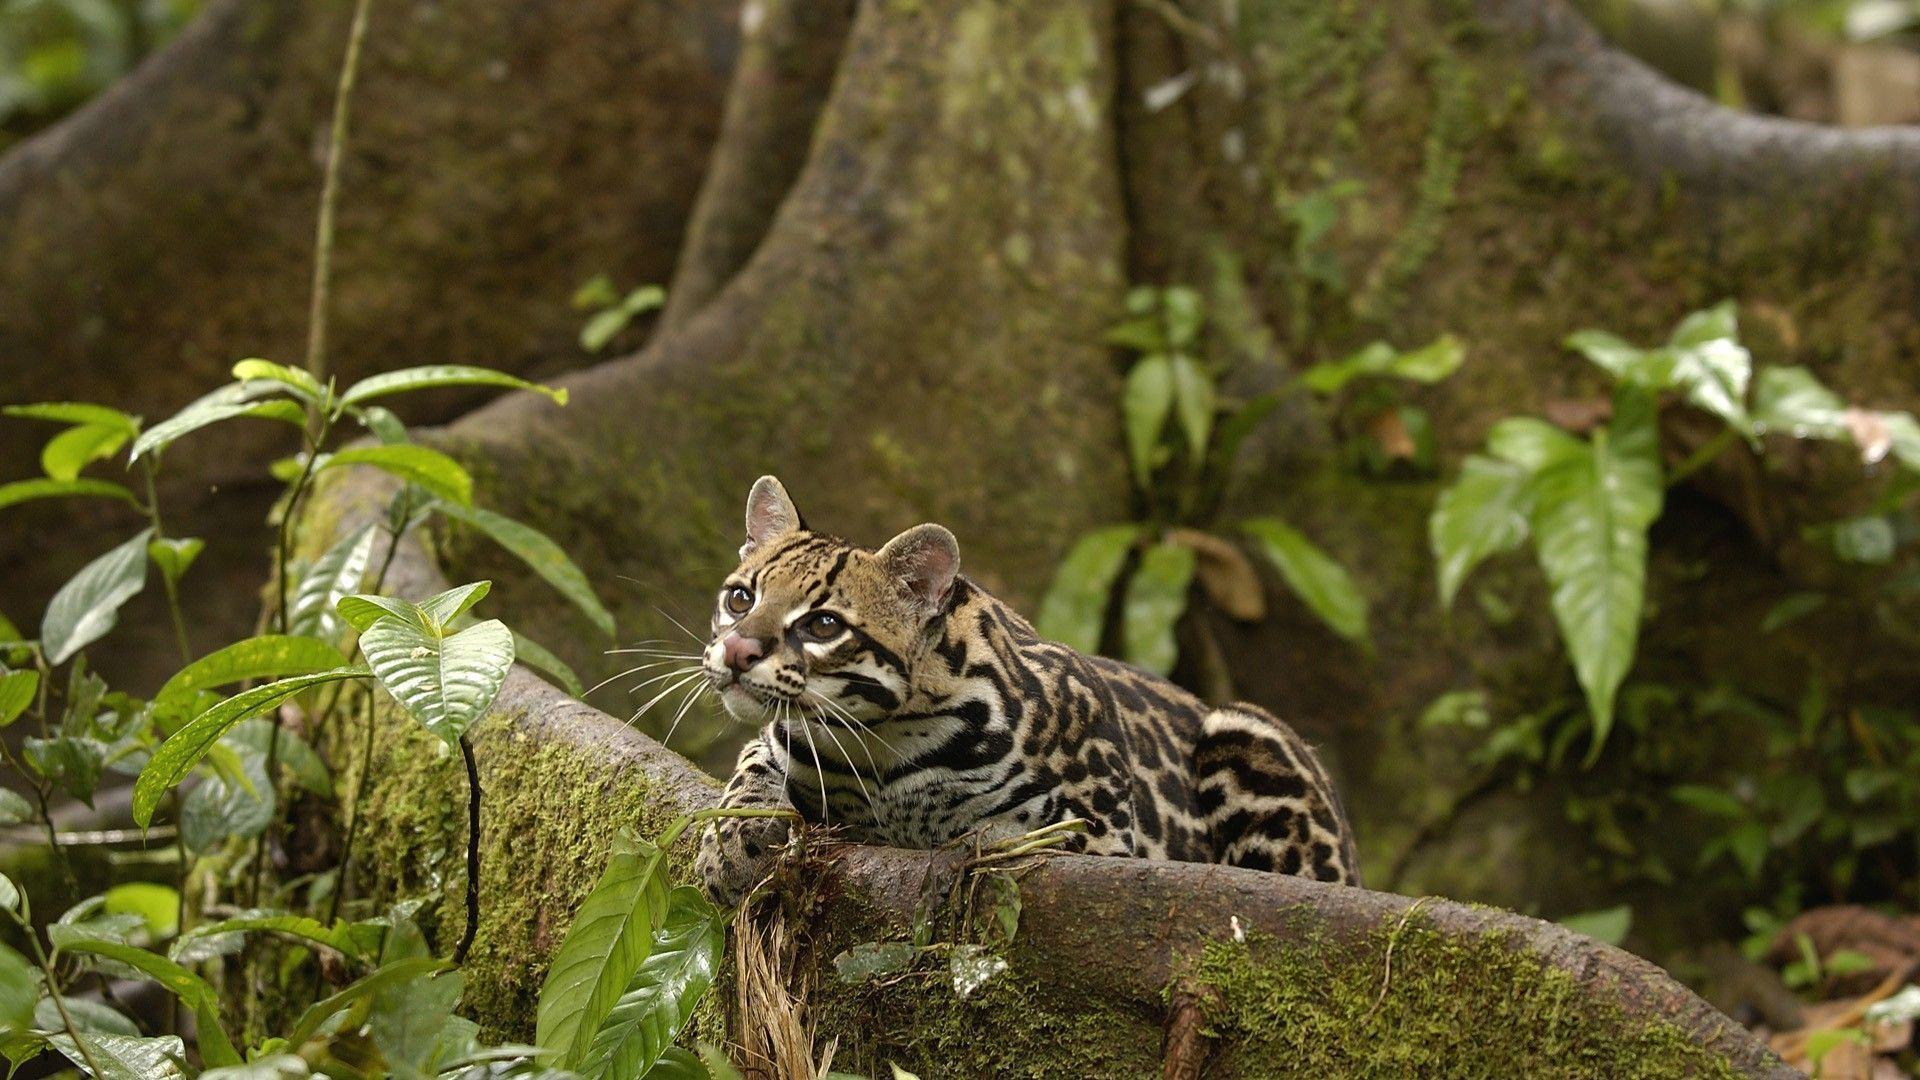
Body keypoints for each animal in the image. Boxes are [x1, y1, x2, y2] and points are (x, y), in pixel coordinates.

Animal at [698, 474, 1359, 895]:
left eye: (824, 625)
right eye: (741, 598)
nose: (737, 651)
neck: (877, 745)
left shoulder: (1103, 826)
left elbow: (1018, 836)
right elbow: (752, 761)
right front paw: (732, 840)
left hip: (1245, 731)